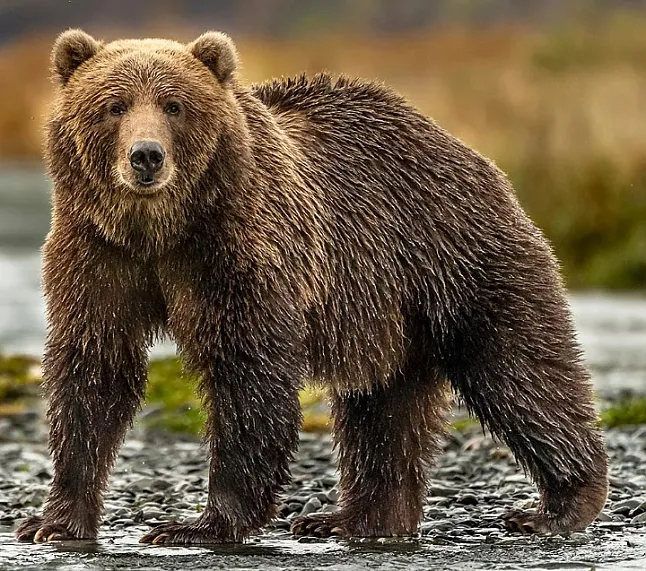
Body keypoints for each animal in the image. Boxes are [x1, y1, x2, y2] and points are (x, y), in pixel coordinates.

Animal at [16, 30, 612, 544]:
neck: (161, 230)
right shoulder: (97, 253)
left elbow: (247, 372)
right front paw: (54, 521)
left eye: (174, 105)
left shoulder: (237, 251)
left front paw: (199, 524)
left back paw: (557, 505)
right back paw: (354, 518)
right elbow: (95, 369)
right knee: (381, 406)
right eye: (114, 105)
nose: (146, 156)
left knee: (517, 368)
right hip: (387, 312)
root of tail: (462, 148)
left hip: (456, 255)